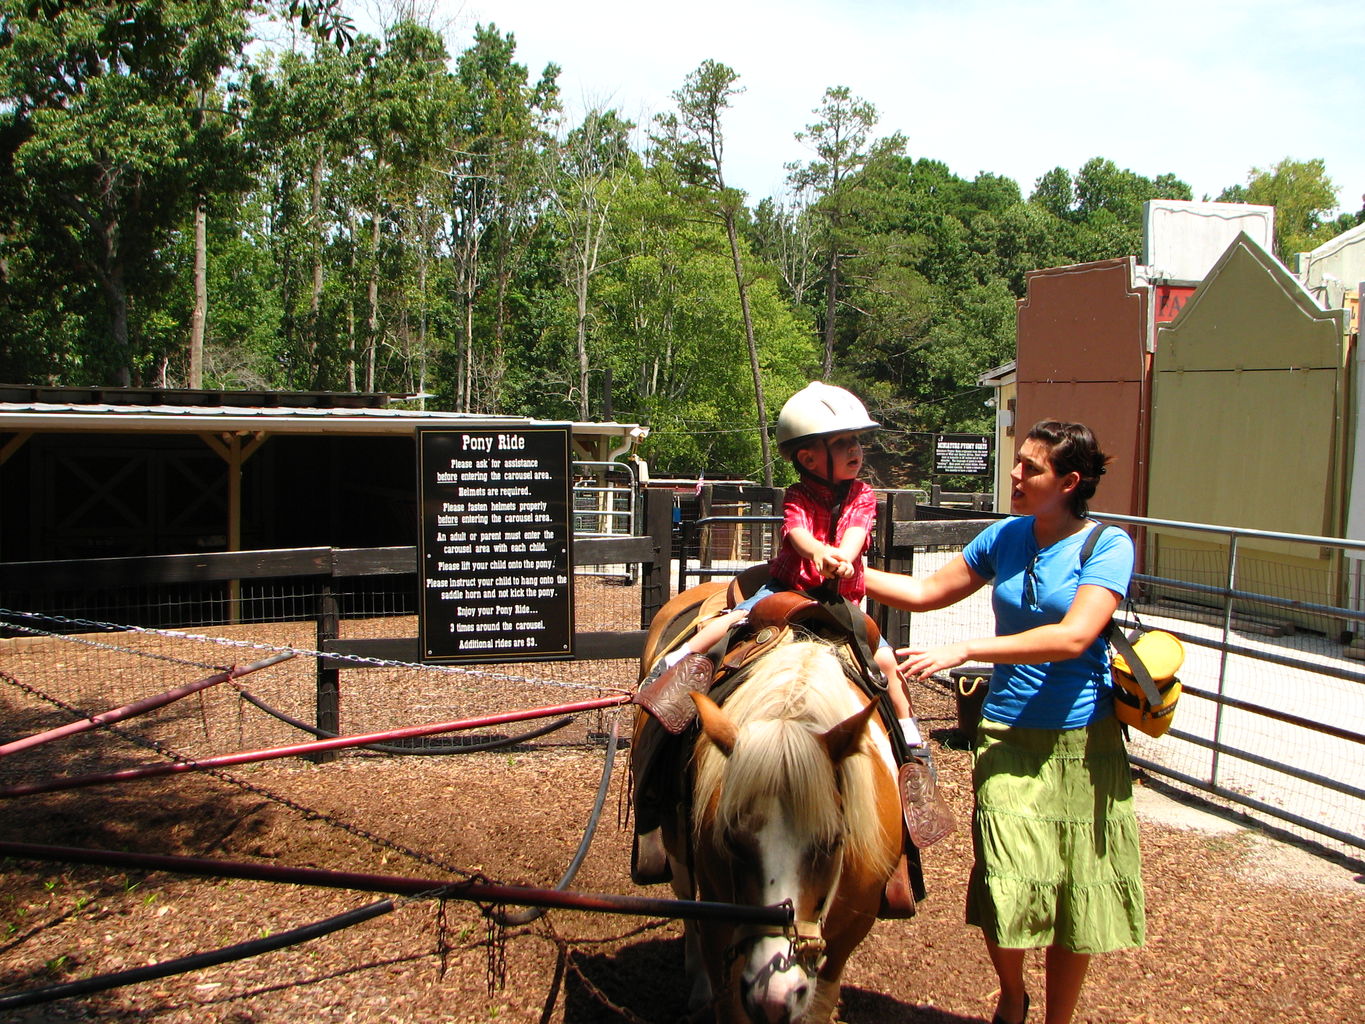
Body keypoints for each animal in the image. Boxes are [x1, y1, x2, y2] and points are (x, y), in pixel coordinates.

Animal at [638, 589, 906, 1021]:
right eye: (731, 840)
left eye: (833, 842)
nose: (775, 998)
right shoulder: (720, 918)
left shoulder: (849, 932)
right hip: (676, 846)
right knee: (685, 904)